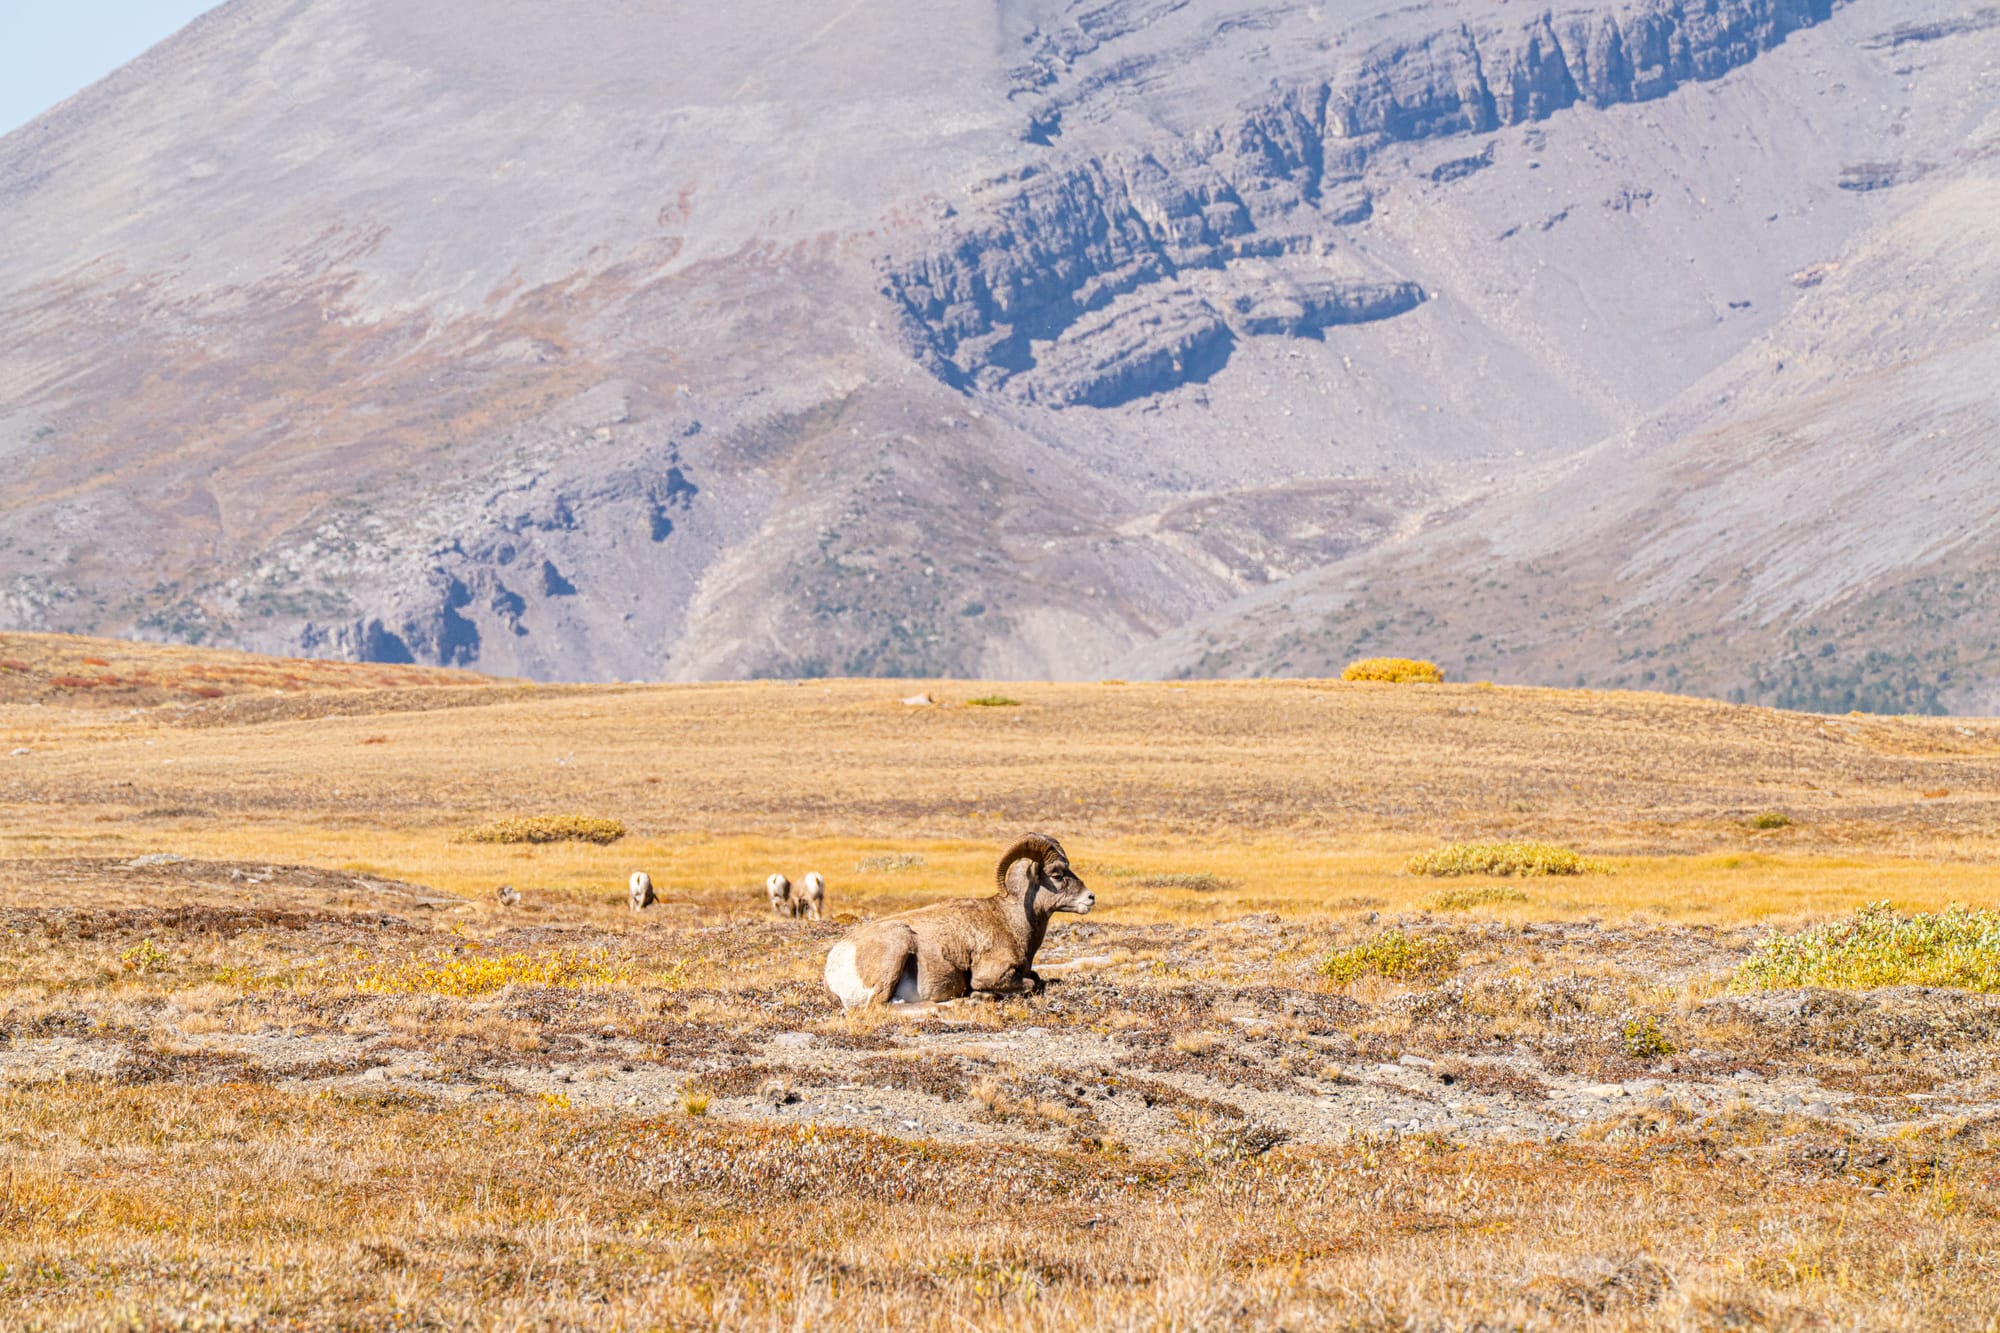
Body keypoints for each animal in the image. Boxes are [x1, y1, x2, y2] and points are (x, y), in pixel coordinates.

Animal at [823, 833, 1092, 1009]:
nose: (1090, 897)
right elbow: (1031, 983)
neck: (1010, 920)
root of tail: (834, 968)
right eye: (1057, 875)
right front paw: (980, 995)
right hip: (897, 948)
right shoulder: (992, 976)